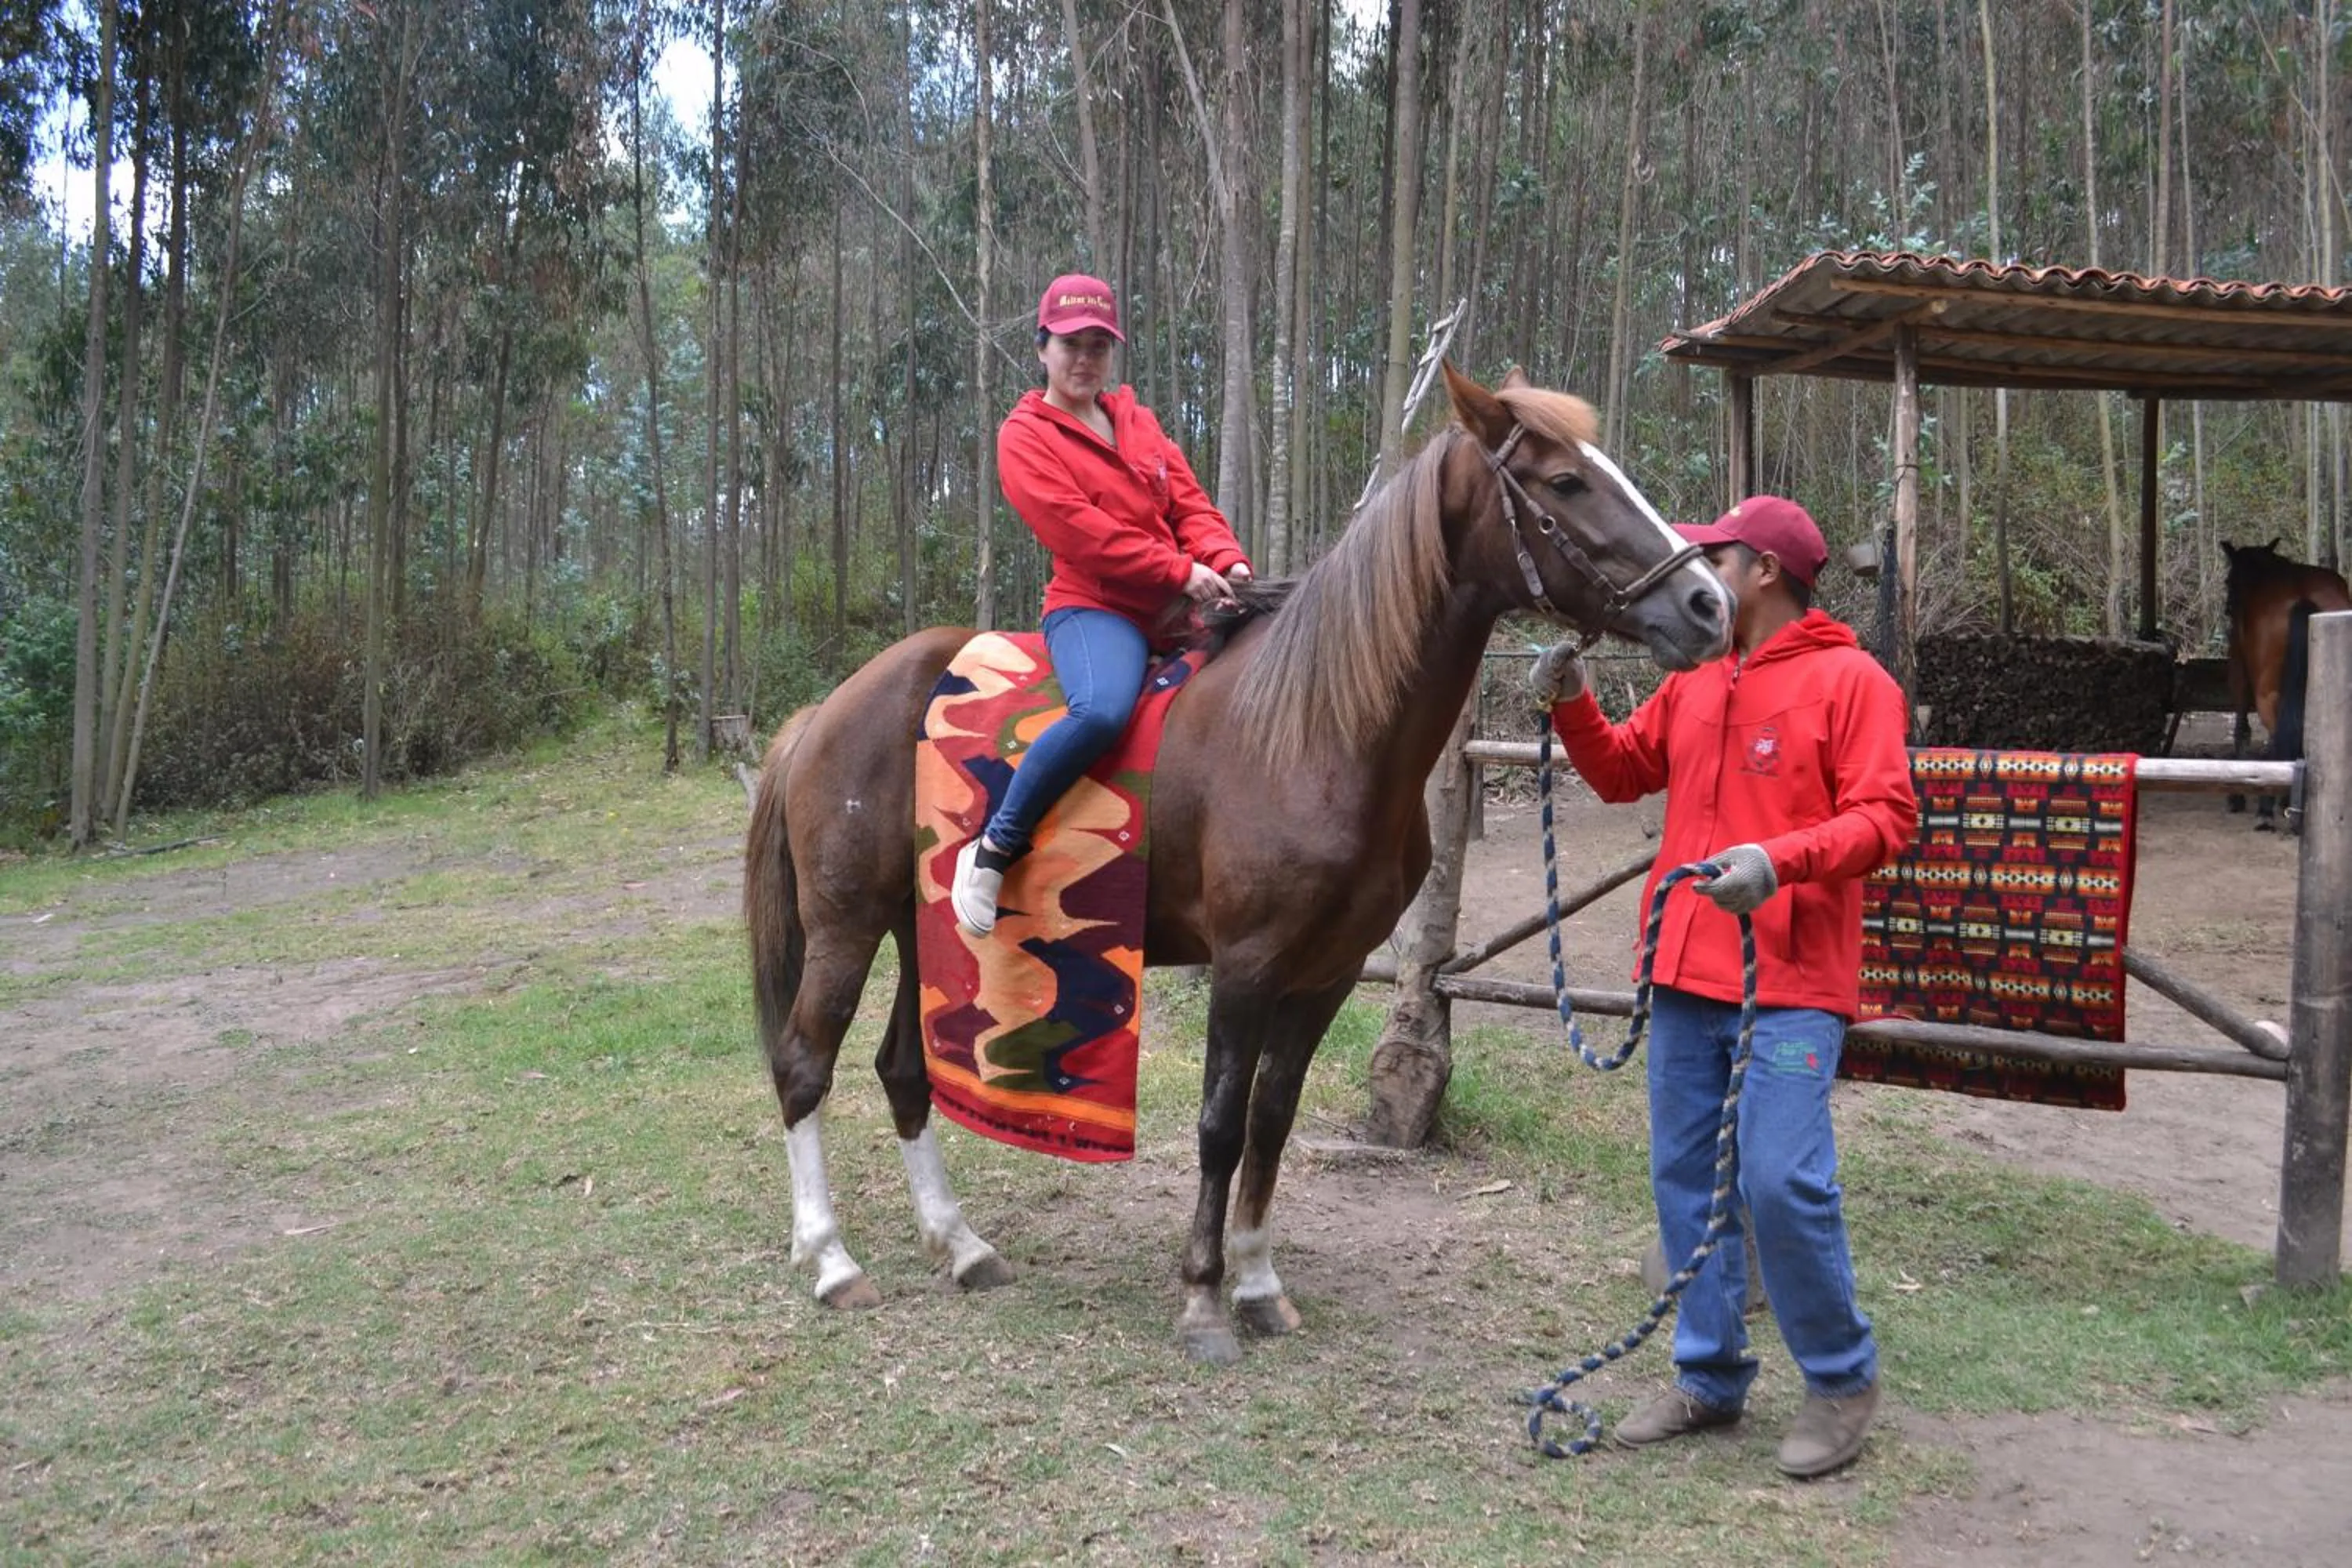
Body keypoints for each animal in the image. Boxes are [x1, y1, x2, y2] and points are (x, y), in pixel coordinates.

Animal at [744, 363, 1732, 1364]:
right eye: (1565, 481)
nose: (1708, 605)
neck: (1312, 729)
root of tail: (828, 709)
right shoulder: (1248, 965)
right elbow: (1220, 1125)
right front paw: (1203, 1296)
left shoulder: (1327, 972)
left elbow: (1271, 1119)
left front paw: (1258, 1282)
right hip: (846, 927)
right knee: (804, 1063)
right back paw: (831, 1258)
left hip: (921, 933)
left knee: (902, 1069)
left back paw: (960, 1243)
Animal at [2221, 538, 2350, 829]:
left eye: (2229, 581)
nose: (2229, 608)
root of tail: (2303, 596)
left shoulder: (2239, 674)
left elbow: (2242, 729)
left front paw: (2239, 796)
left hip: (2268, 694)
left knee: (2277, 740)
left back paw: (2267, 809)